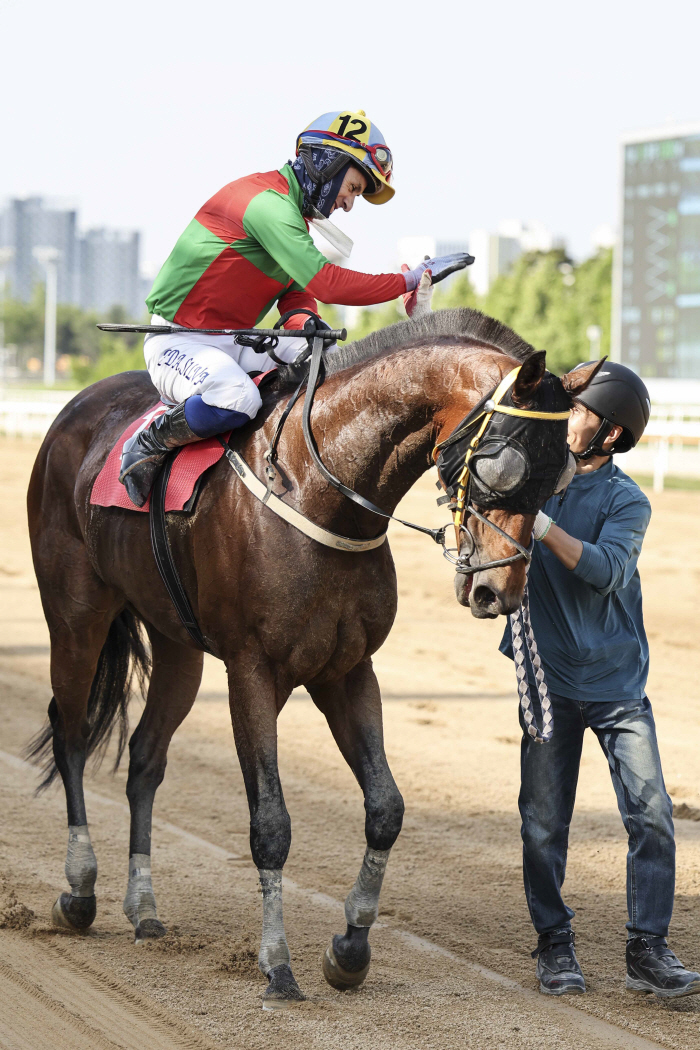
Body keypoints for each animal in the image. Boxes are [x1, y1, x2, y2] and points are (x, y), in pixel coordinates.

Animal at [25, 308, 596, 1007]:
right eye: (505, 465)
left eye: (563, 474)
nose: (498, 591)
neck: (319, 490)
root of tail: (75, 409)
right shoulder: (251, 670)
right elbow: (270, 823)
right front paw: (277, 963)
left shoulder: (347, 670)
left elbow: (386, 808)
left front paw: (350, 949)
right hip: (76, 615)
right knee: (72, 736)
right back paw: (80, 889)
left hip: (178, 645)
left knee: (145, 759)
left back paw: (144, 907)